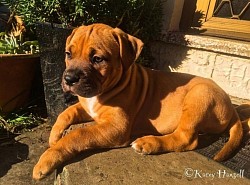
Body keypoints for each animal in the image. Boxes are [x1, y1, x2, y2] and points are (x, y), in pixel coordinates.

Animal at [32, 23, 244, 179]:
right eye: (68, 54)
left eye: (98, 59)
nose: (69, 79)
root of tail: (231, 107)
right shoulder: (87, 106)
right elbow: (67, 112)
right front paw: (53, 136)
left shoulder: (117, 127)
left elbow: (79, 134)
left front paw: (47, 159)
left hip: (199, 95)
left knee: (186, 138)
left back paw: (148, 143)